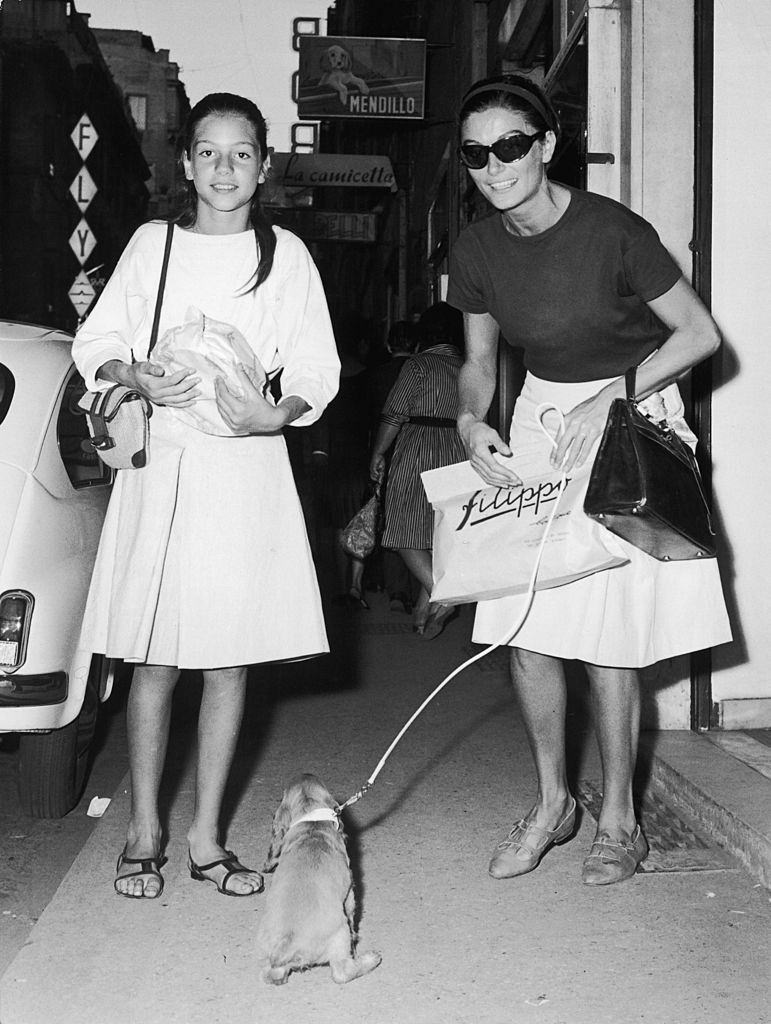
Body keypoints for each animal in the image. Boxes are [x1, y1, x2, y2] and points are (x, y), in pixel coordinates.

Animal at [257, 774, 380, 983]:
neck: (312, 825)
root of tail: (284, 948)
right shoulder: (349, 897)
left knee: (270, 975)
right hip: (340, 933)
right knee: (341, 972)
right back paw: (370, 959)